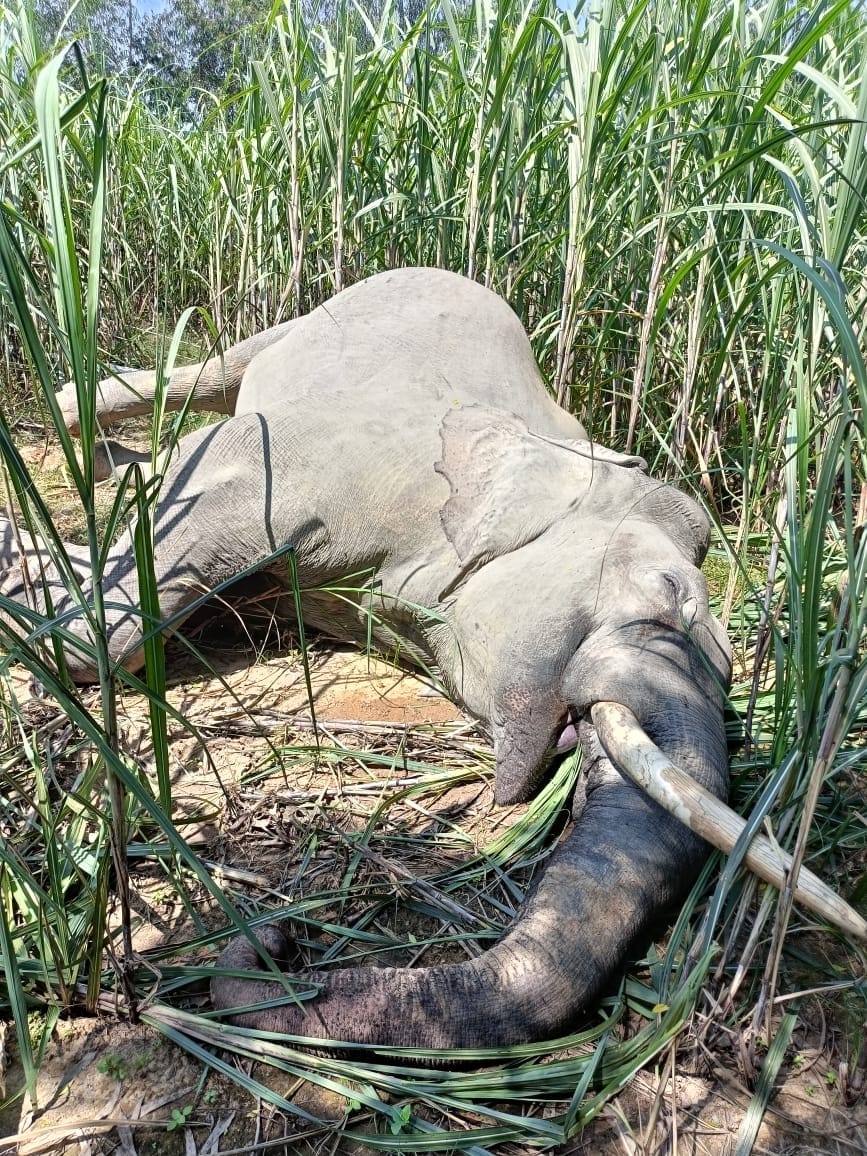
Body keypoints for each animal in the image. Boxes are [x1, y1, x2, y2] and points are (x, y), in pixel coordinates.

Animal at [1, 267, 732, 1051]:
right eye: (670, 592)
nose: (281, 940)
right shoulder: (327, 464)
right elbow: (115, 619)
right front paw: (28, 568)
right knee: (215, 375)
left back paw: (117, 465)